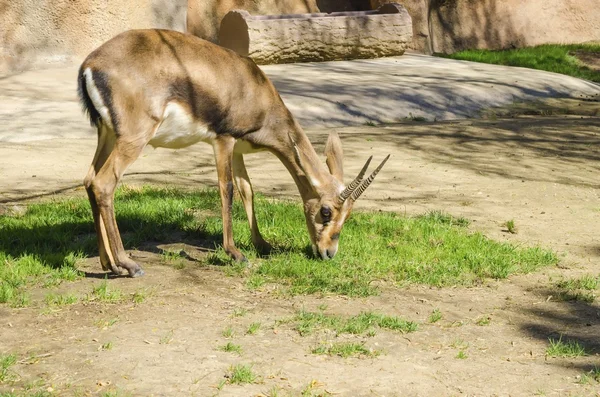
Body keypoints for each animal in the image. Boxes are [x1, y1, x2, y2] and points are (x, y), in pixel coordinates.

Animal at [76, 29, 390, 276]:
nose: (328, 252)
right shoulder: (223, 140)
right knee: (104, 183)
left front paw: (262, 244)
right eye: (326, 211)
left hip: (107, 135)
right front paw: (235, 253)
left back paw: (108, 264)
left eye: (347, 215)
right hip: (133, 138)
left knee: (89, 180)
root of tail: (91, 64)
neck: (254, 89)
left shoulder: (238, 149)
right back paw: (129, 265)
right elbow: (226, 189)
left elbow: (247, 189)